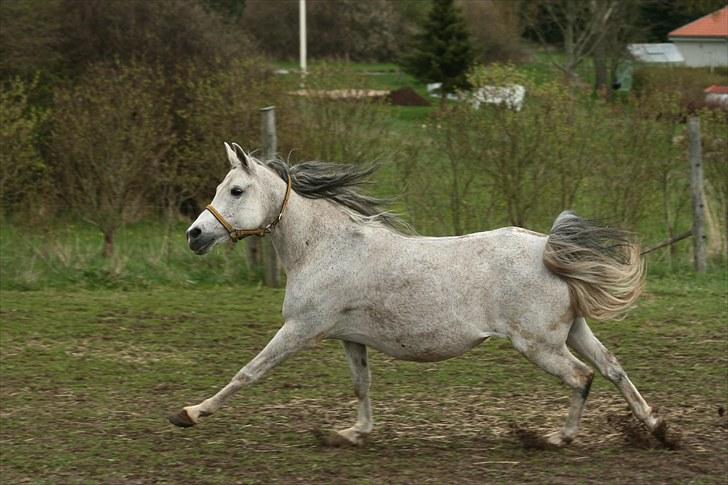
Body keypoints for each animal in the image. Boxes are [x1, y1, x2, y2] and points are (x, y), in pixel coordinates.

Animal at [171, 143, 672, 446]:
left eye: (237, 190)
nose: (194, 235)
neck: (323, 247)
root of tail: (548, 249)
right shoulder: (349, 337)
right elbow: (361, 385)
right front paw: (353, 433)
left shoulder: (300, 329)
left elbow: (248, 373)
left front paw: (190, 412)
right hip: (572, 332)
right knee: (612, 368)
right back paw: (658, 427)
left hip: (539, 344)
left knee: (581, 377)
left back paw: (556, 438)